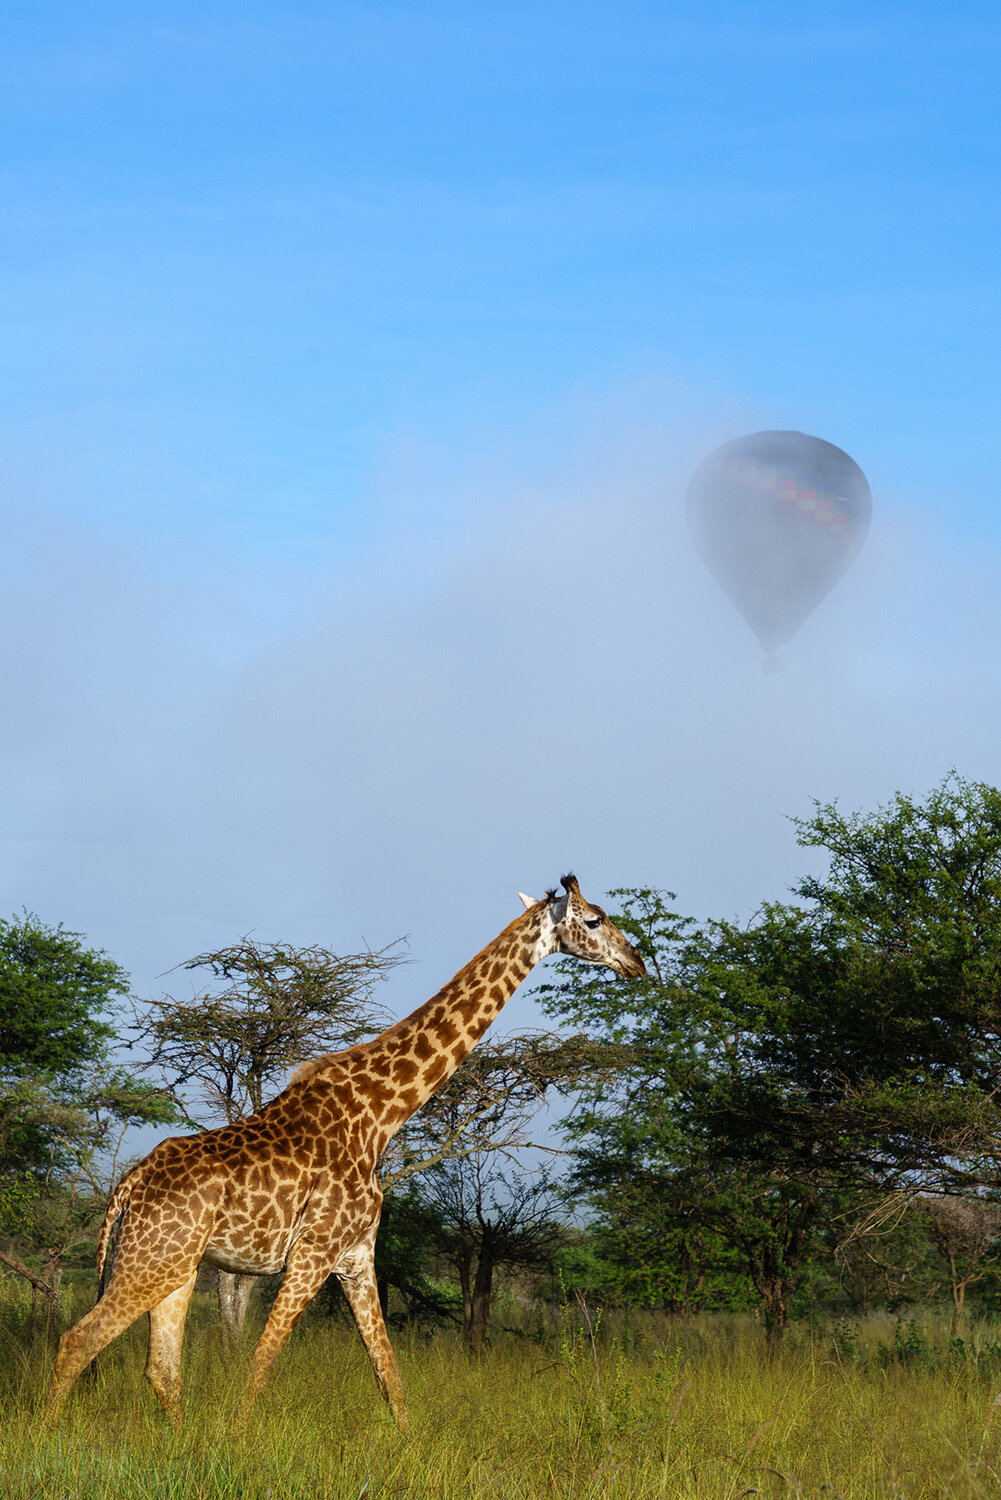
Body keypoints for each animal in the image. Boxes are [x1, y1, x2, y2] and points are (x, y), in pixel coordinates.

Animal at [45, 875, 645, 1431]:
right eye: (594, 920)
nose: (637, 961)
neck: (381, 1116)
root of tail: (126, 1187)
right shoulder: (313, 1253)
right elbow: (261, 1365)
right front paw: (232, 1446)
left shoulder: (356, 1255)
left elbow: (389, 1375)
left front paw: (413, 1454)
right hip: (151, 1260)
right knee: (77, 1341)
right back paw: (46, 1437)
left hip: (177, 1266)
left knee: (161, 1368)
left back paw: (181, 1446)